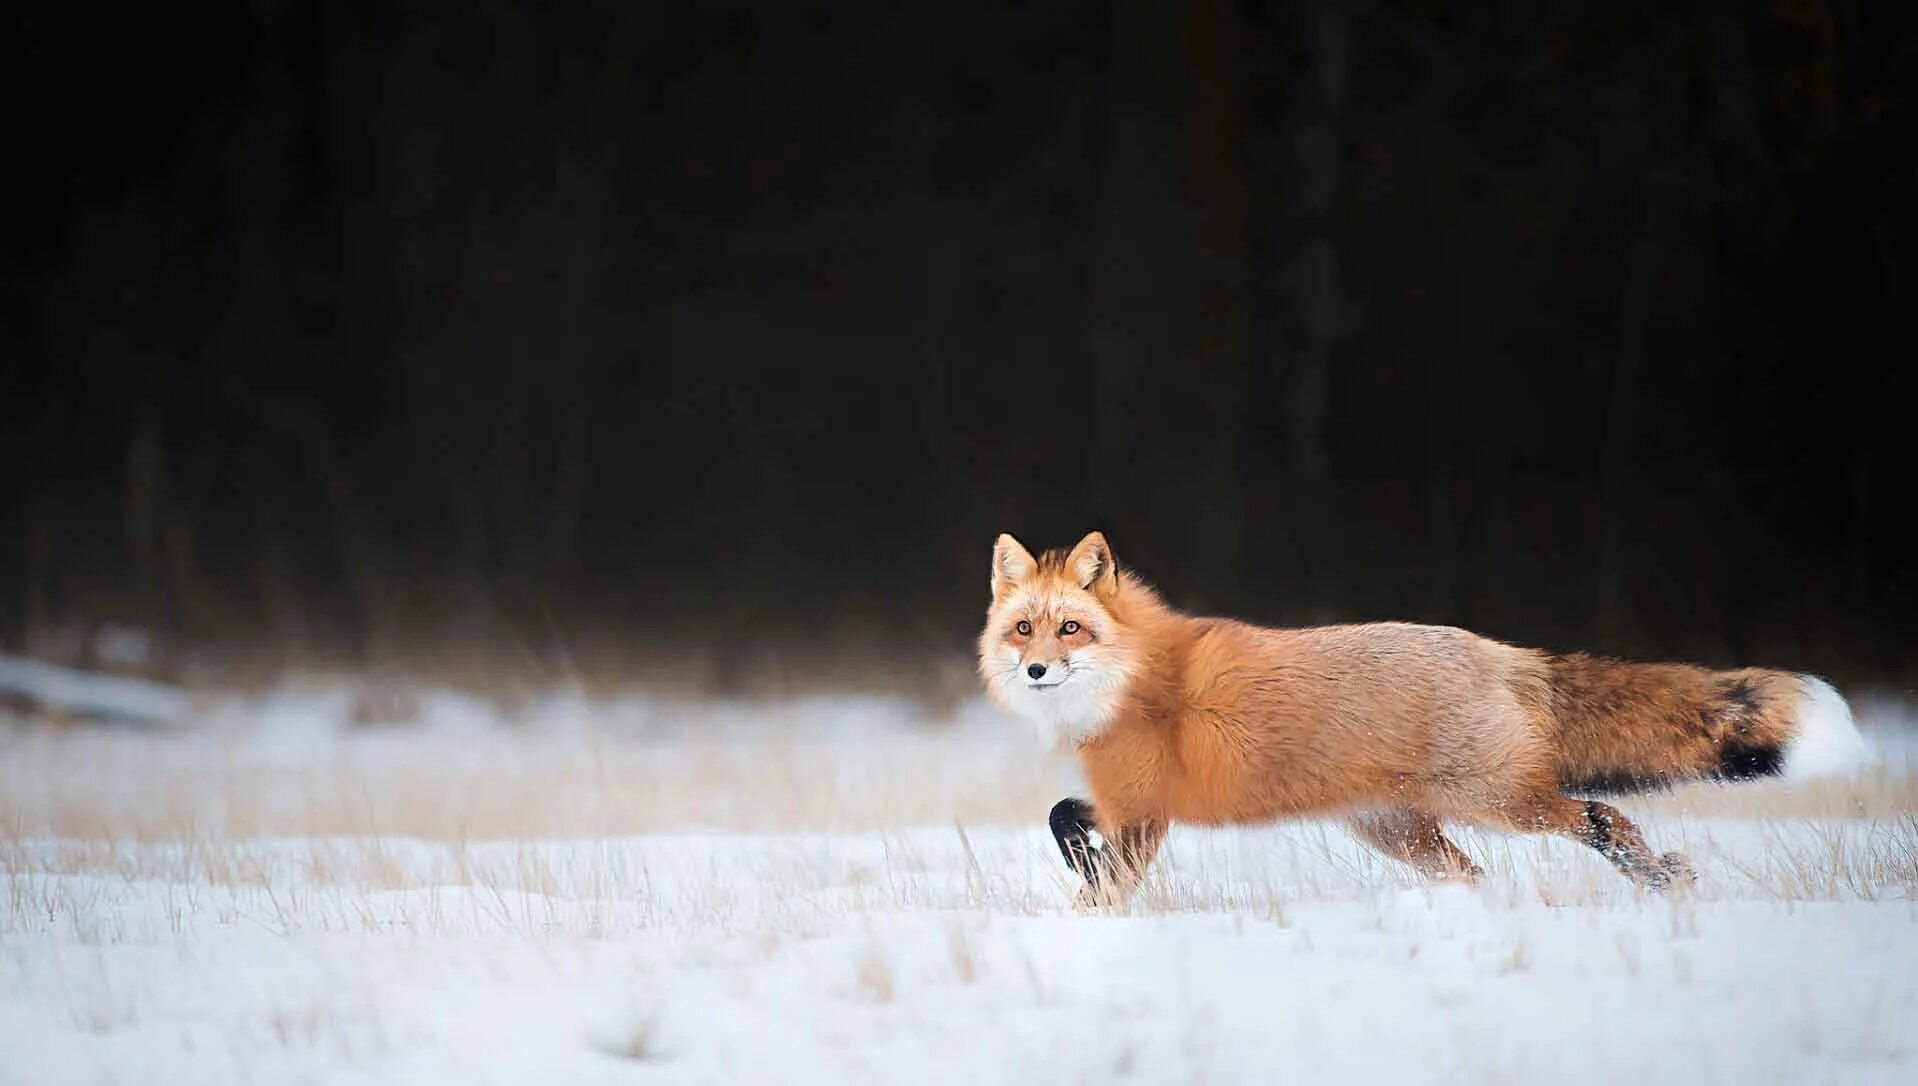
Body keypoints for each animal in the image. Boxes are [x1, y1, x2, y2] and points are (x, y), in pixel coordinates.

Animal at [974, 529, 1871, 901]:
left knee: (1602, 816)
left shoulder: (1145, 812)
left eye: (1069, 629)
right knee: (1479, 874)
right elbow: (1063, 818)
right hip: (1405, 835)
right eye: (1023, 628)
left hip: (1499, 803)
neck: (1133, 682)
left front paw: (1092, 915)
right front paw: (1085, 889)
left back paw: (1657, 879)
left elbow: (1090, 857)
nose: (1036, 668)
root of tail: (1500, 652)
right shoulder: (1129, 803)